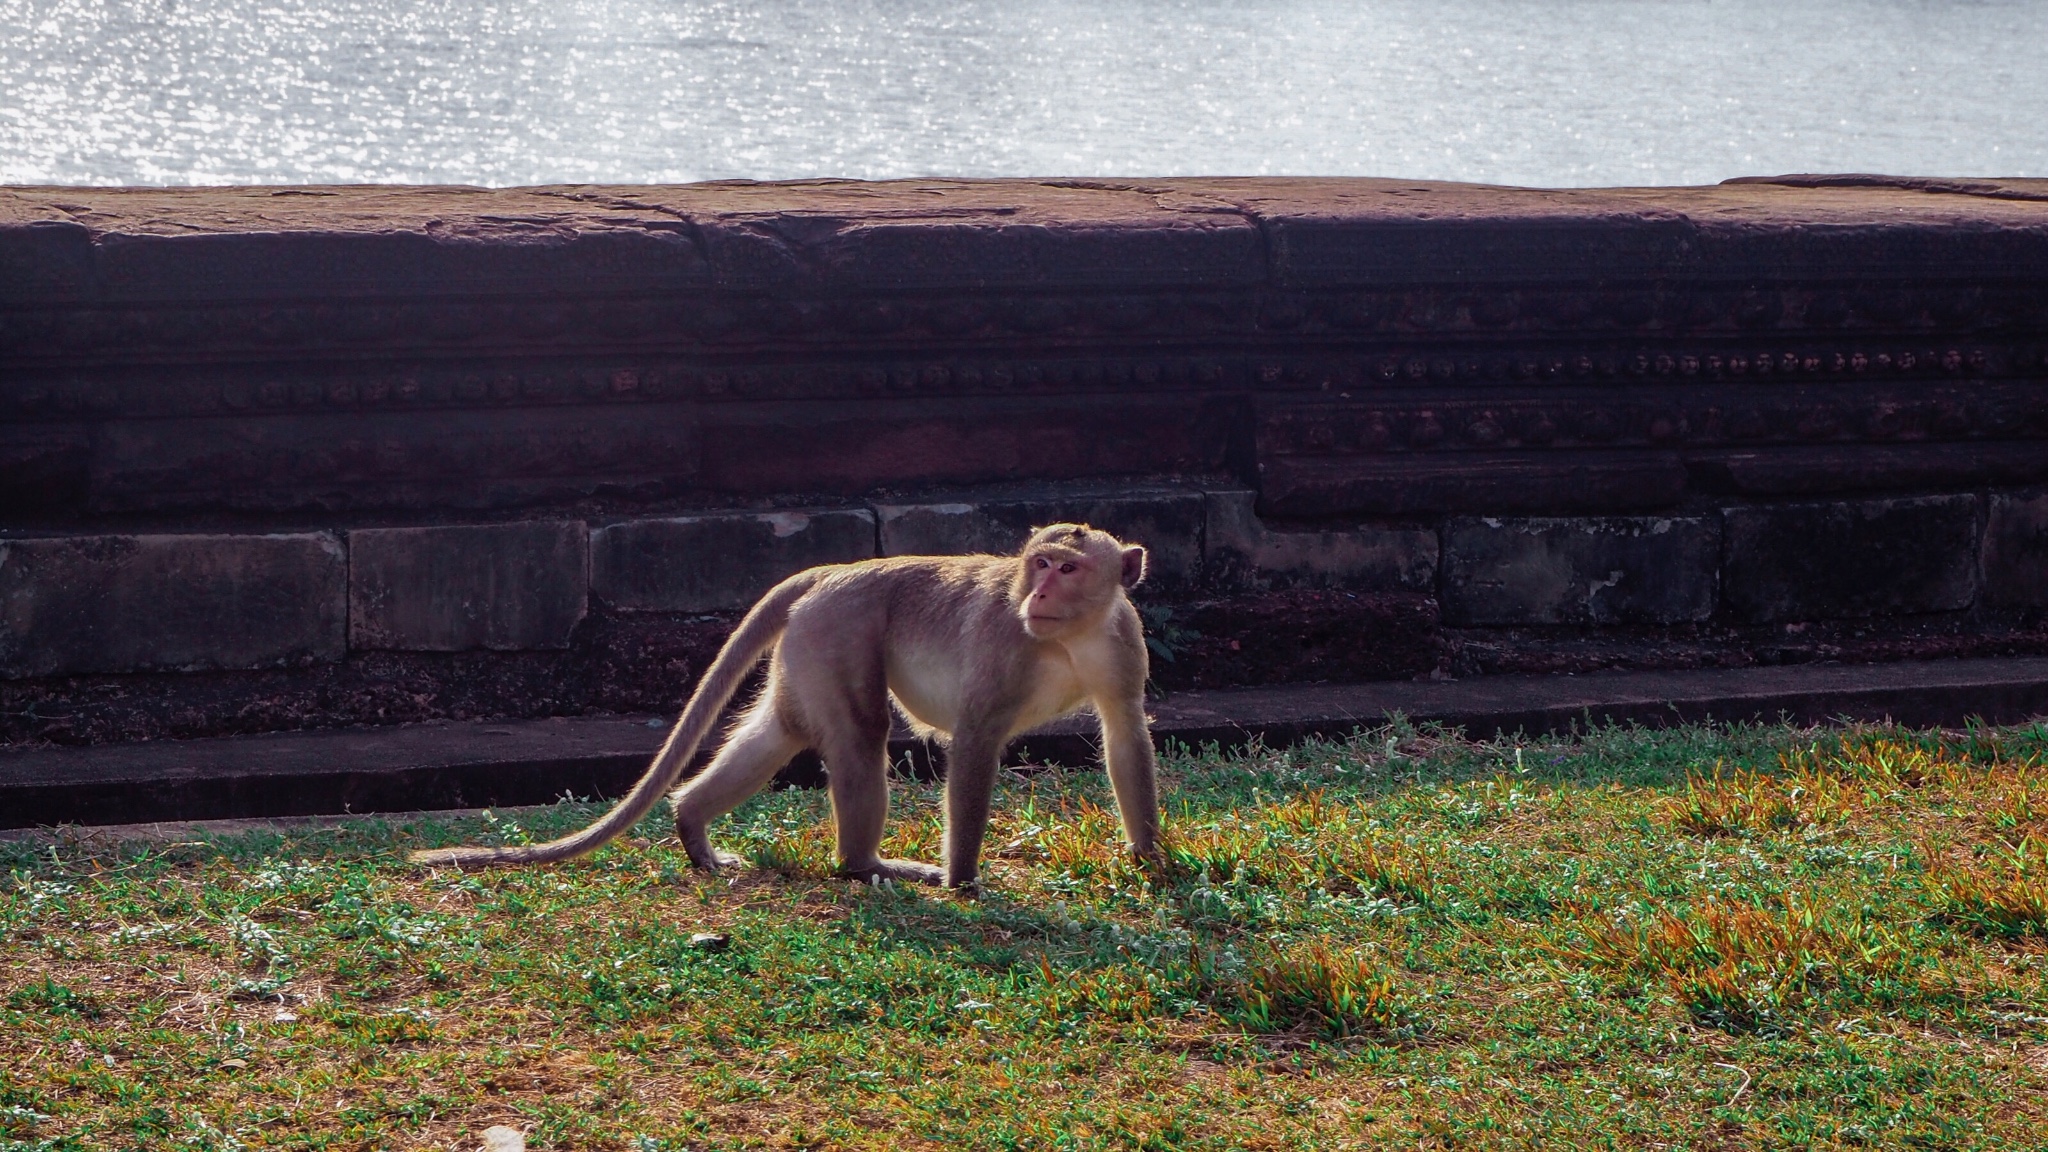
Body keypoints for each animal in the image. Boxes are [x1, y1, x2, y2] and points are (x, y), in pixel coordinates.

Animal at [407, 520, 1163, 889]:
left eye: (1069, 568)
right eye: (1040, 564)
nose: (1039, 593)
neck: (1066, 637)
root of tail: (835, 571)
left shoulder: (1121, 641)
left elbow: (1126, 733)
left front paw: (1151, 859)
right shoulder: (1005, 642)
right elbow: (975, 741)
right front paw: (963, 878)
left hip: (813, 642)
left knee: (784, 731)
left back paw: (692, 827)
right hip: (840, 630)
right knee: (859, 735)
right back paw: (865, 866)